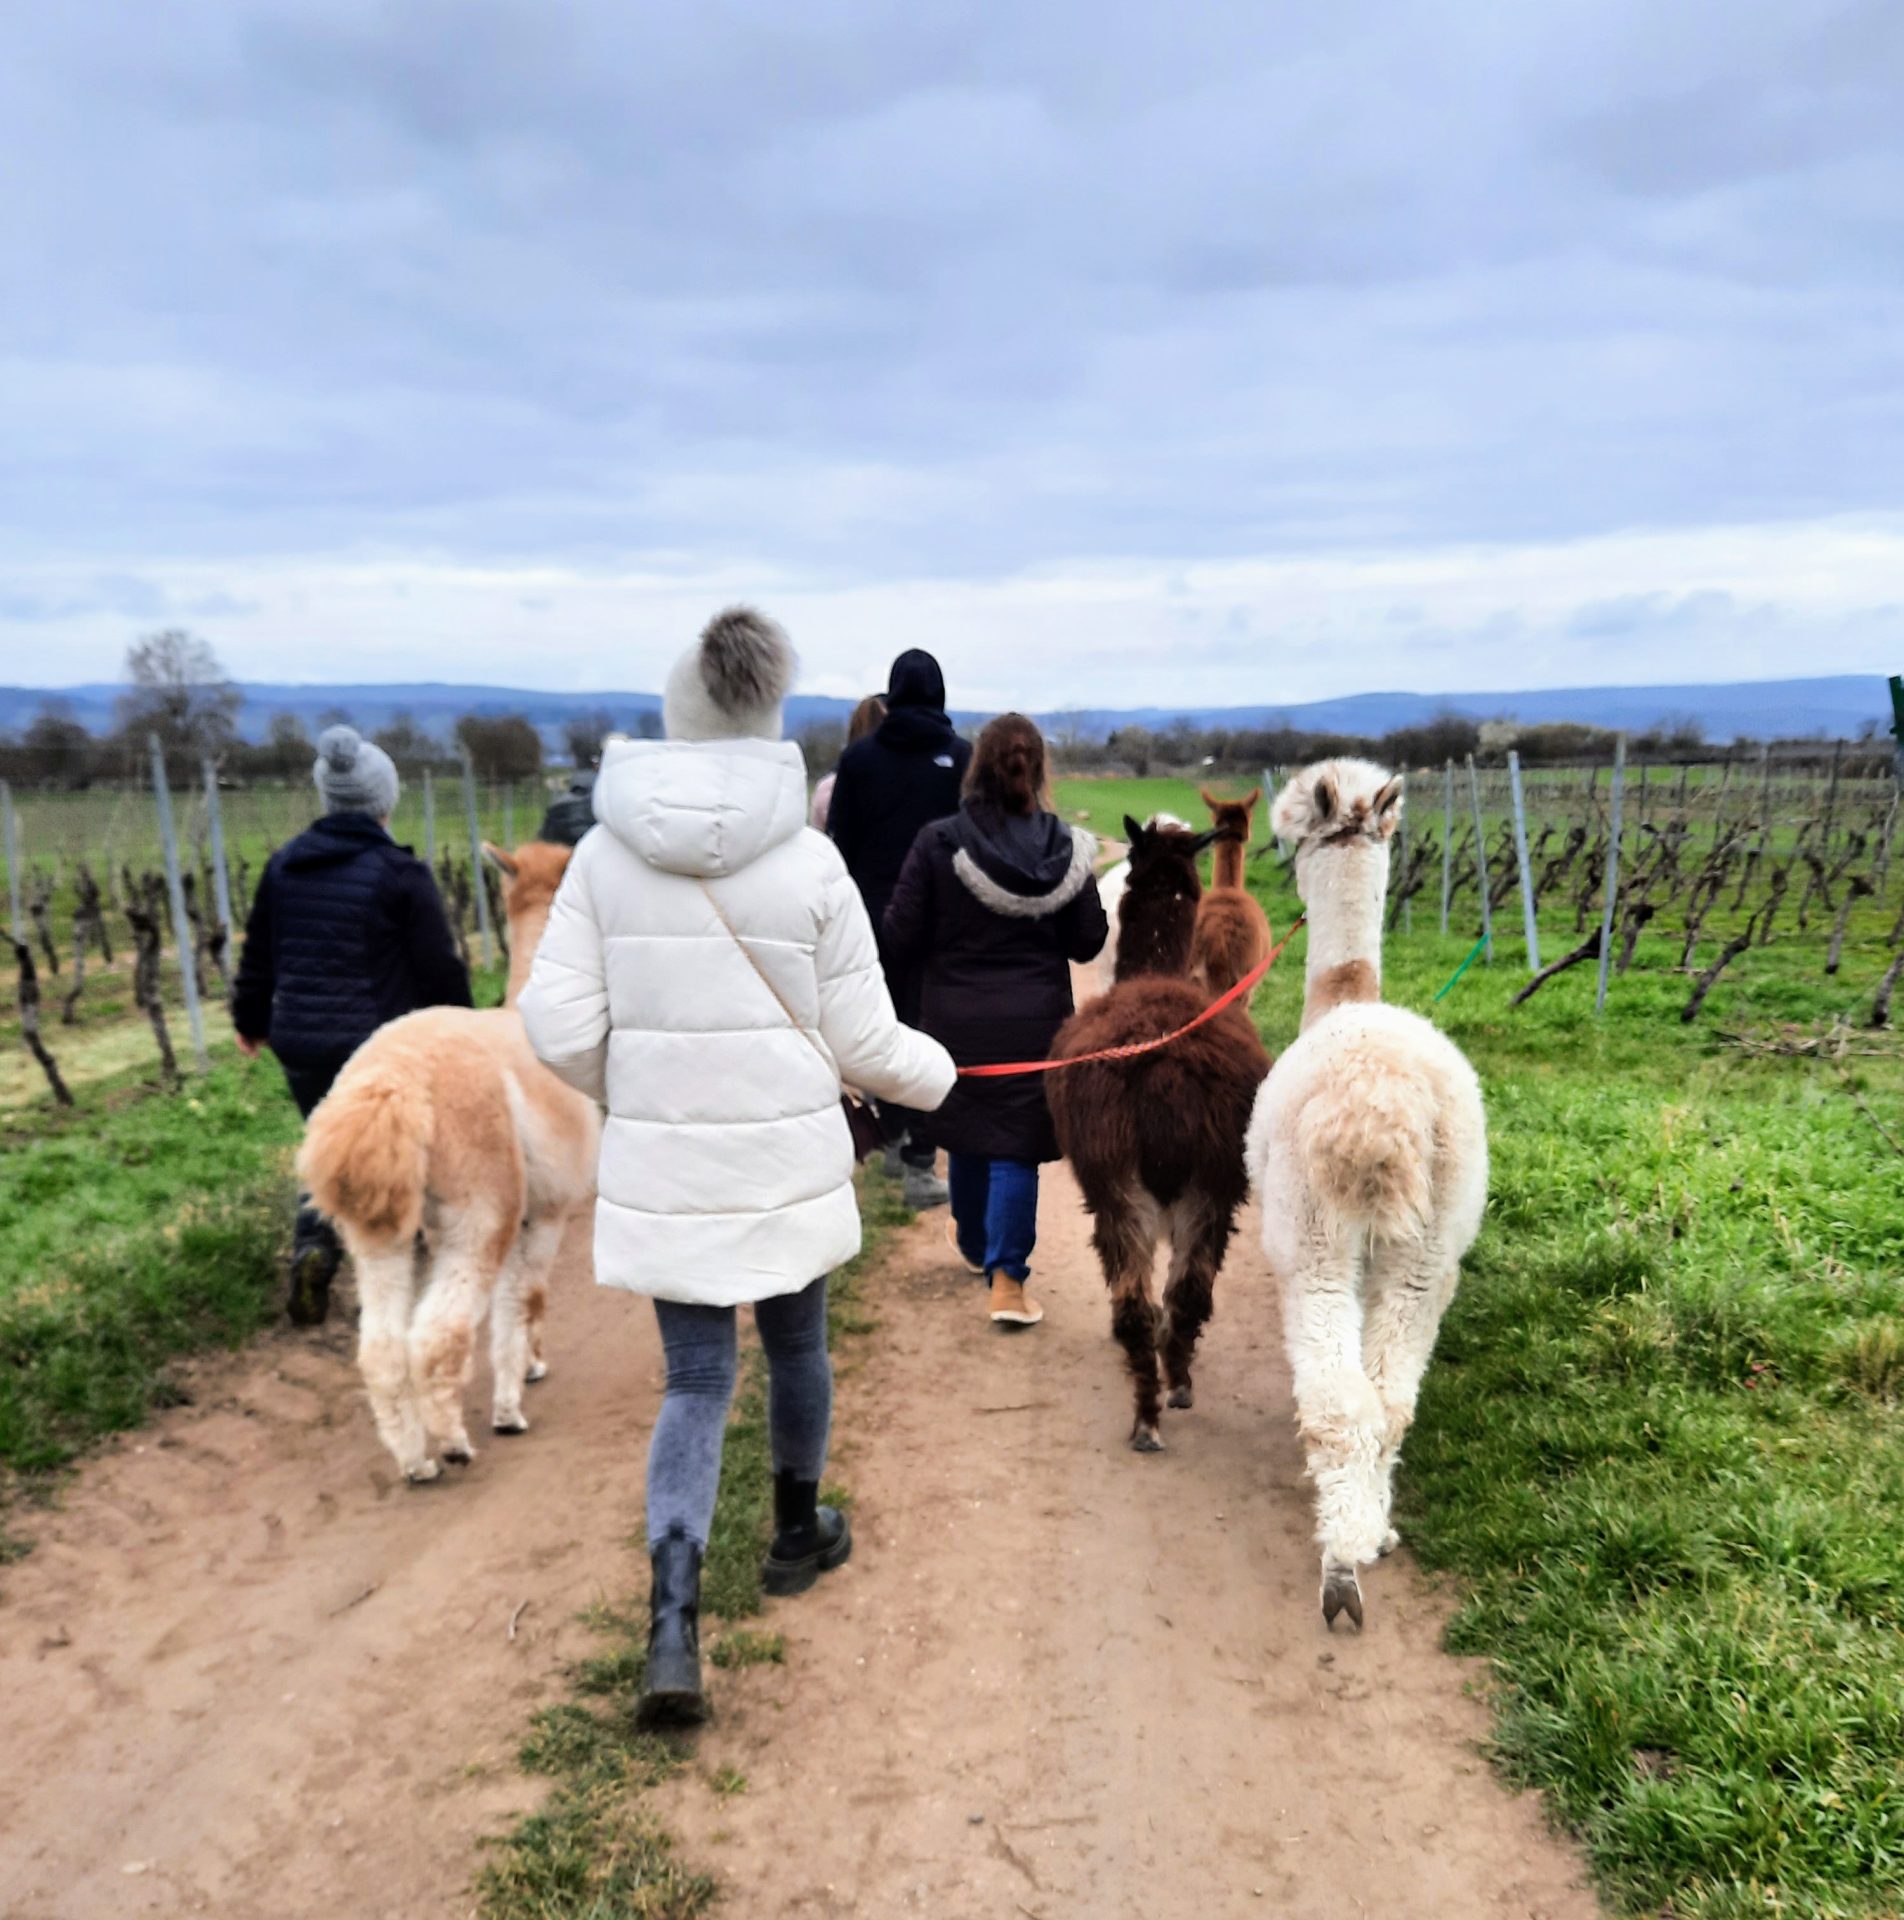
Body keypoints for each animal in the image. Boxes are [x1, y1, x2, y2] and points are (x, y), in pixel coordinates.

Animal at [298, 842, 601, 1483]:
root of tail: (393, 1084)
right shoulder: (547, 1211)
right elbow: (526, 1299)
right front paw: (515, 1396)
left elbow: (516, 1302)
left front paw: (526, 1369)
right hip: (479, 1205)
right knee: (438, 1333)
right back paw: (457, 1443)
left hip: (383, 1232)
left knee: (383, 1347)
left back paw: (416, 1460)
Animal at [1049, 817, 1270, 1450]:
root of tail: (1168, 1079)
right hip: (1217, 1180)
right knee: (1189, 1294)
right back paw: (1177, 1385)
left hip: (1117, 1182)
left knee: (1135, 1304)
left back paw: (1146, 1416)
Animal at [1243, 760, 1487, 1629]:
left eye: (1291, 826)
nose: (1280, 860)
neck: (1345, 995)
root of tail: (1383, 1109)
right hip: (1429, 1248)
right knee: (1389, 1402)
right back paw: (1373, 1531)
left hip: (1314, 1234)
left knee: (1340, 1405)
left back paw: (1341, 1567)